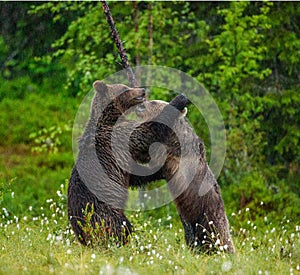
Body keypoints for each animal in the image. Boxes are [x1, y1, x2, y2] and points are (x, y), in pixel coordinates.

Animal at [67, 81, 188, 246]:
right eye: (125, 88)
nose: (142, 90)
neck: (110, 118)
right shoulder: (118, 137)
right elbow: (144, 134)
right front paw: (178, 99)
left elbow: (135, 176)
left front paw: (158, 171)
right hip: (103, 211)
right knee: (121, 226)